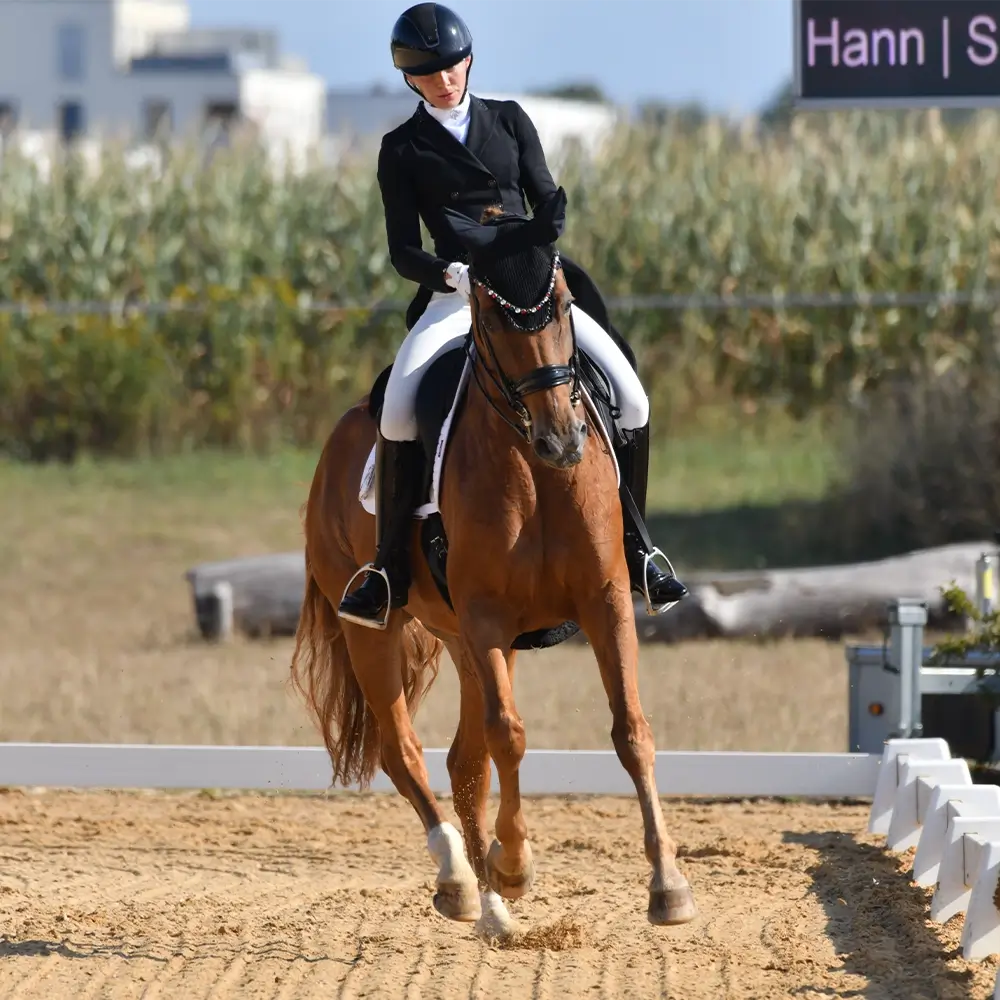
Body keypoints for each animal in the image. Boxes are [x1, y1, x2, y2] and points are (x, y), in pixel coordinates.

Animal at [290, 186, 697, 938]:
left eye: (561, 303)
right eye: (493, 312)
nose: (563, 440)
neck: (535, 473)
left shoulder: (604, 600)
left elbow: (631, 730)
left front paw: (669, 887)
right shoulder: (484, 616)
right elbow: (509, 736)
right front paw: (515, 865)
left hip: (465, 640)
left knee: (461, 759)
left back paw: (493, 910)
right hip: (384, 632)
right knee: (405, 749)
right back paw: (461, 879)